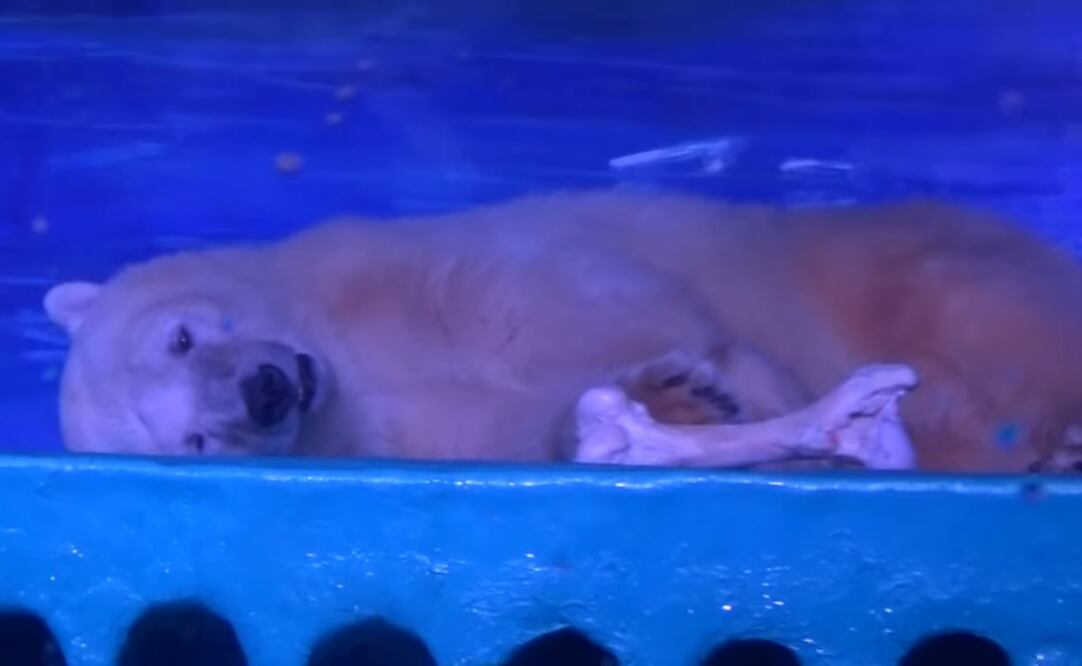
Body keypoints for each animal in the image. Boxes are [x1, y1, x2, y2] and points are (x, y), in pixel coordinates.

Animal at [43, 189, 1082, 472]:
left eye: (181, 337)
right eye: (194, 440)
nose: (265, 392)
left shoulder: (421, 270)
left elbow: (619, 307)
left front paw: (716, 382)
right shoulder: (404, 433)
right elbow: (533, 424)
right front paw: (678, 400)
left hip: (903, 261)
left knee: (998, 319)